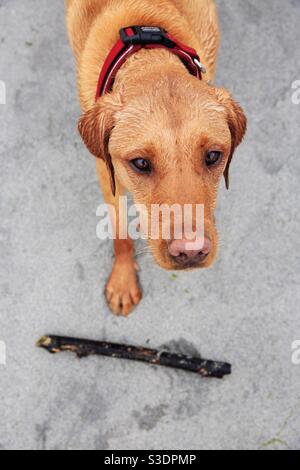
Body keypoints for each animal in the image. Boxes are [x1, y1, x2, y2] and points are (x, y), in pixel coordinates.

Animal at [65, 0, 246, 316]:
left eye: (213, 155)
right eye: (140, 163)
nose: (191, 251)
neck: (149, 55)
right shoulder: (107, 173)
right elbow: (119, 229)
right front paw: (123, 279)